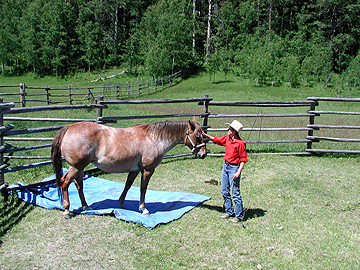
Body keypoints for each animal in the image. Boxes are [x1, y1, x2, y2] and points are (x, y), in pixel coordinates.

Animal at [51, 117, 207, 218]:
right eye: (197, 136)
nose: (204, 154)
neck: (153, 138)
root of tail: (69, 128)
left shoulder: (134, 170)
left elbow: (128, 185)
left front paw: (120, 204)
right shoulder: (148, 169)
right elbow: (143, 188)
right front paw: (143, 209)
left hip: (80, 168)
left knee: (79, 185)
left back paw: (85, 206)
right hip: (76, 167)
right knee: (65, 183)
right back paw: (67, 210)